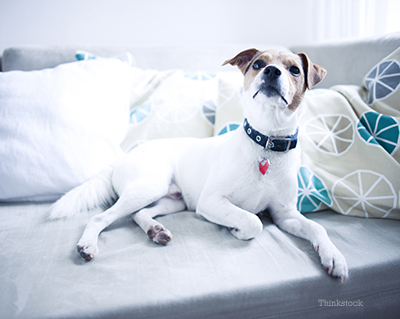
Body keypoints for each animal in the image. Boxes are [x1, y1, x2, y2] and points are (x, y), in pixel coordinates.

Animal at [51, 48, 348, 284]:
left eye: (295, 69)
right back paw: (87, 245)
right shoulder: (211, 201)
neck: (267, 143)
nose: (272, 71)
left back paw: (155, 231)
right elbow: (253, 222)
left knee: (139, 213)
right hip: (150, 185)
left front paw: (334, 257)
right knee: (100, 217)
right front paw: (237, 229)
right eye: (258, 64)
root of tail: (121, 159)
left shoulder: (285, 215)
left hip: (173, 200)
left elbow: (317, 228)